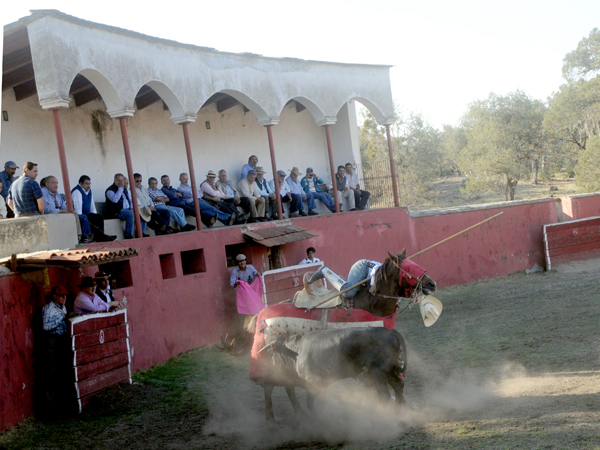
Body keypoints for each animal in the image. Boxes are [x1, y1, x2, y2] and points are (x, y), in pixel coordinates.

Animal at [258, 326, 408, 420]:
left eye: (272, 353)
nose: (272, 367)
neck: (296, 350)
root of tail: (390, 331)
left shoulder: (313, 382)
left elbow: (311, 403)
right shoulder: (322, 384)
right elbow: (321, 402)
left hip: (378, 372)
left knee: (384, 394)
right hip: (387, 371)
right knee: (398, 385)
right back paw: (396, 412)